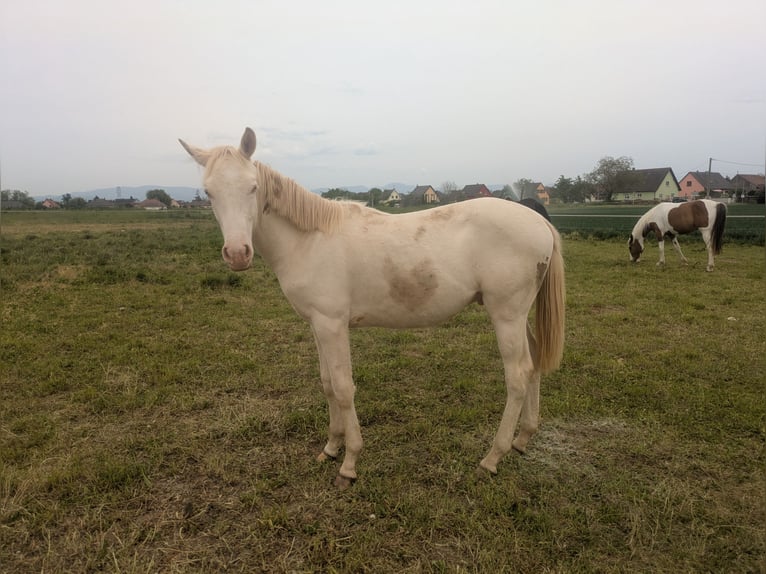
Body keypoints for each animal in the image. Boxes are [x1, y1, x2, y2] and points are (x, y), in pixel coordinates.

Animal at [180, 128, 565, 488]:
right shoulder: (317, 325)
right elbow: (327, 384)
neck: (309, 239)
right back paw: (522, 440)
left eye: (253, 187)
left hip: (506, 316)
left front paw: (349, 464)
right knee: (533, 364)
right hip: (519, 316)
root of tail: (539, 221)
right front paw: (330, 448)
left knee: (517, 376)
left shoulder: (333, 325)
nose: (237, 254)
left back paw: (491, 458)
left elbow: (343, 387)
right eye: (209, 192)